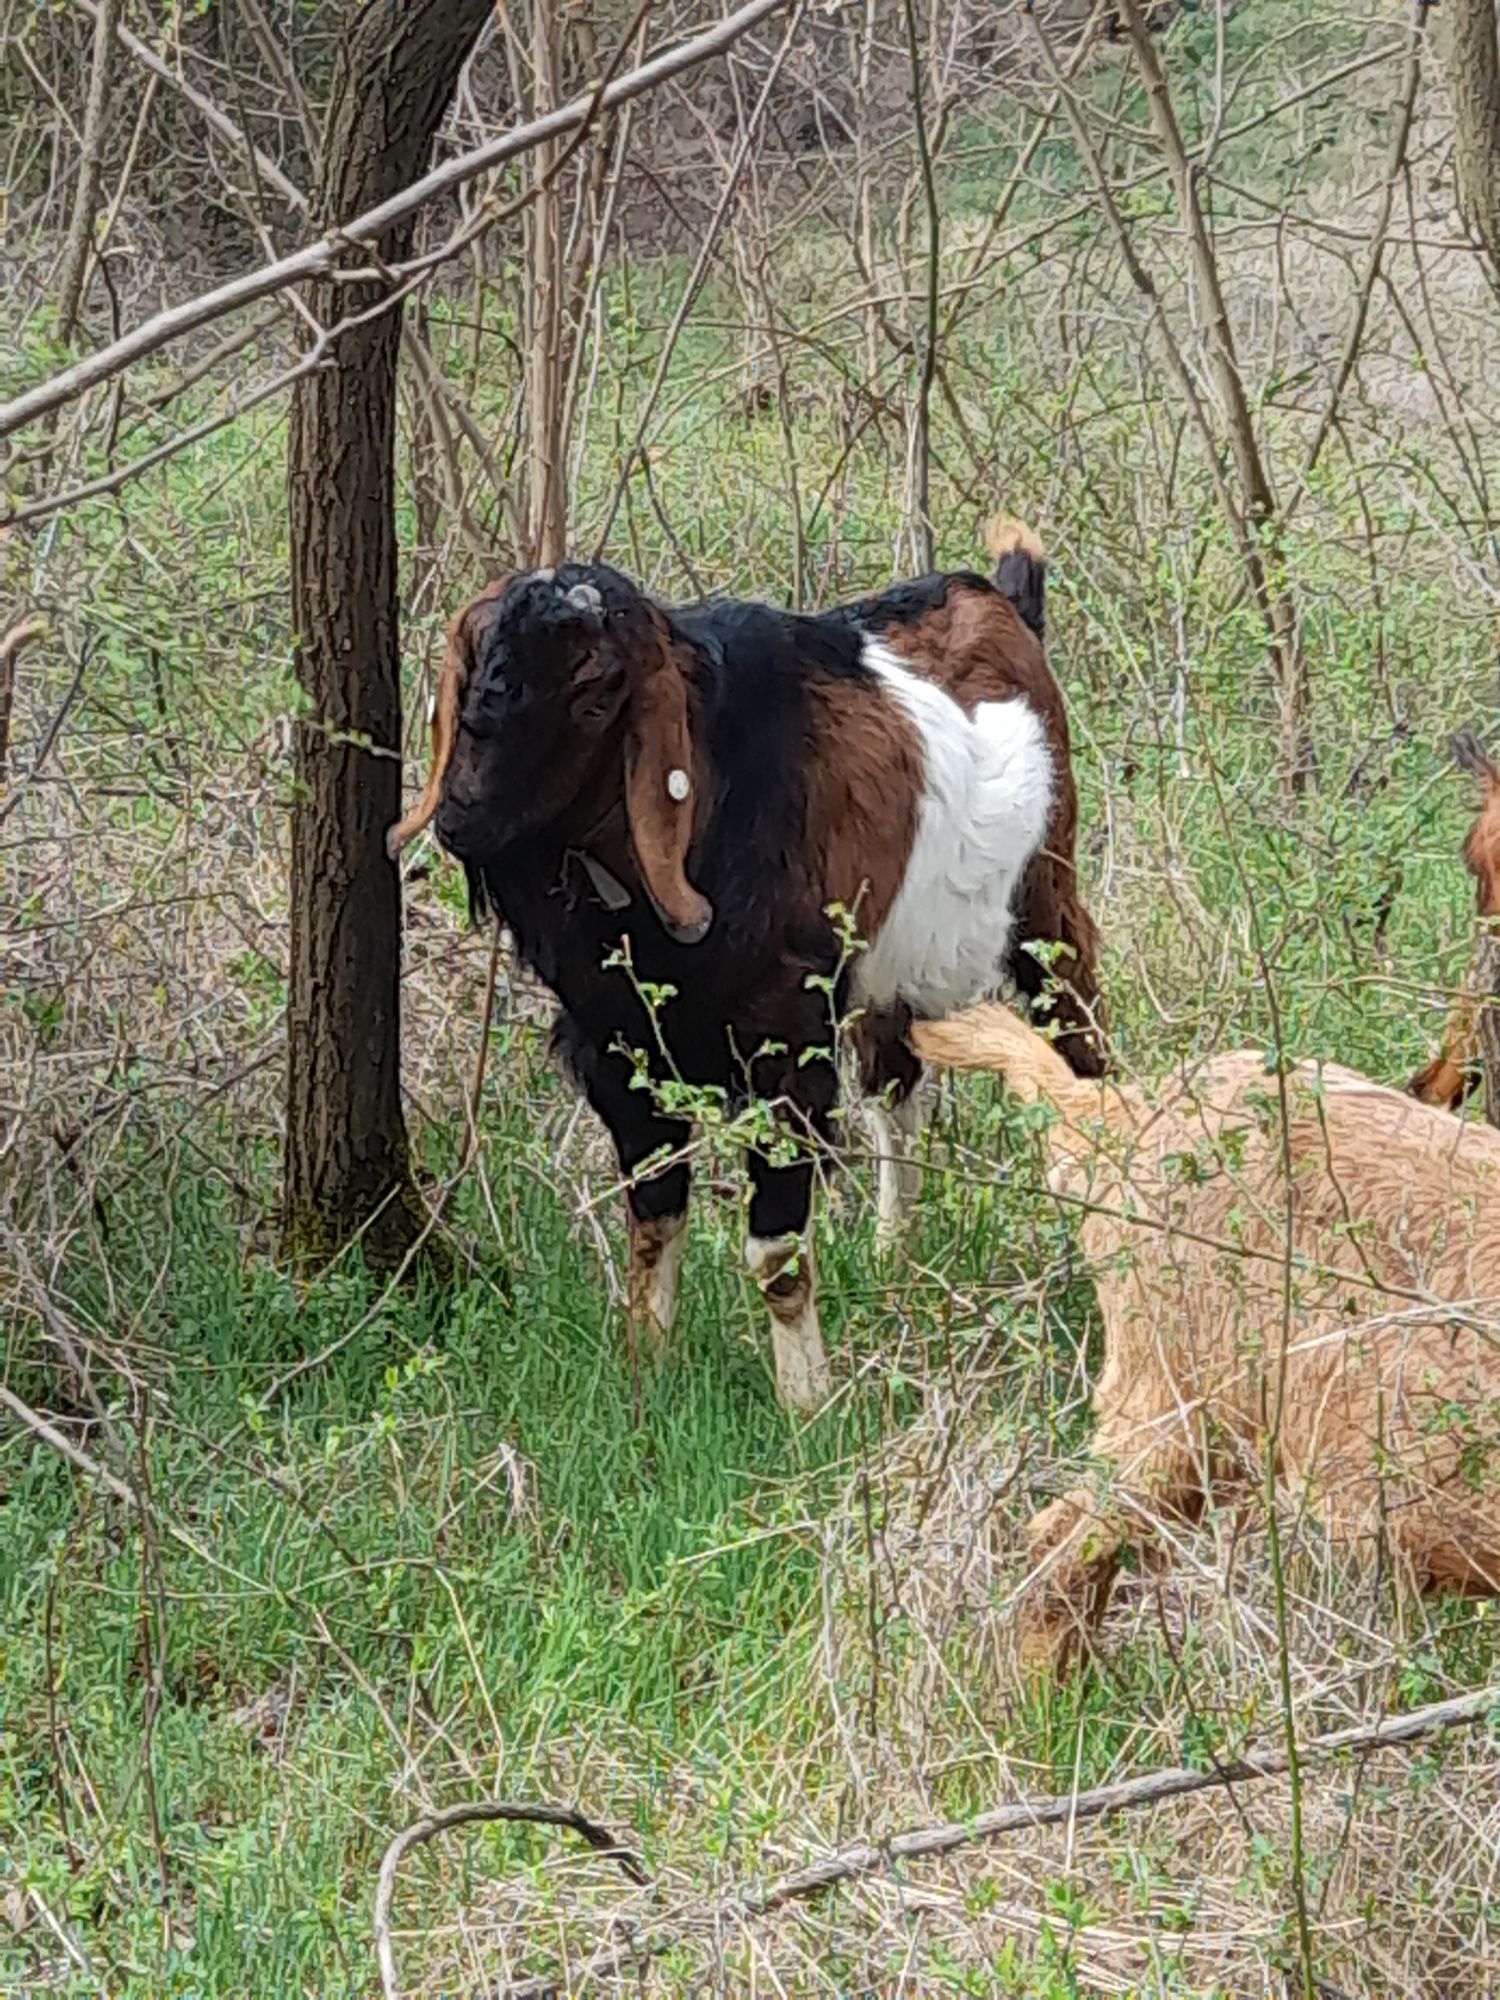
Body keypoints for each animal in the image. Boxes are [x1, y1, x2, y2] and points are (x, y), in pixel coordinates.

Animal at [394, 524, 1112, 1416]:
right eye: (481, 670)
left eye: (595, 695)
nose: (462, 816)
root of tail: (1007, 600)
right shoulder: (617, 1055)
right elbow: (653, 1223)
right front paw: (648, 1375)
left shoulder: (785, 1048)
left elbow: (775, 1253)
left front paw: (808, 1406)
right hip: (894, 968)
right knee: (897, 1090)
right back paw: (893, 1255)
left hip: (1047, 898)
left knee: (1079, 1038)